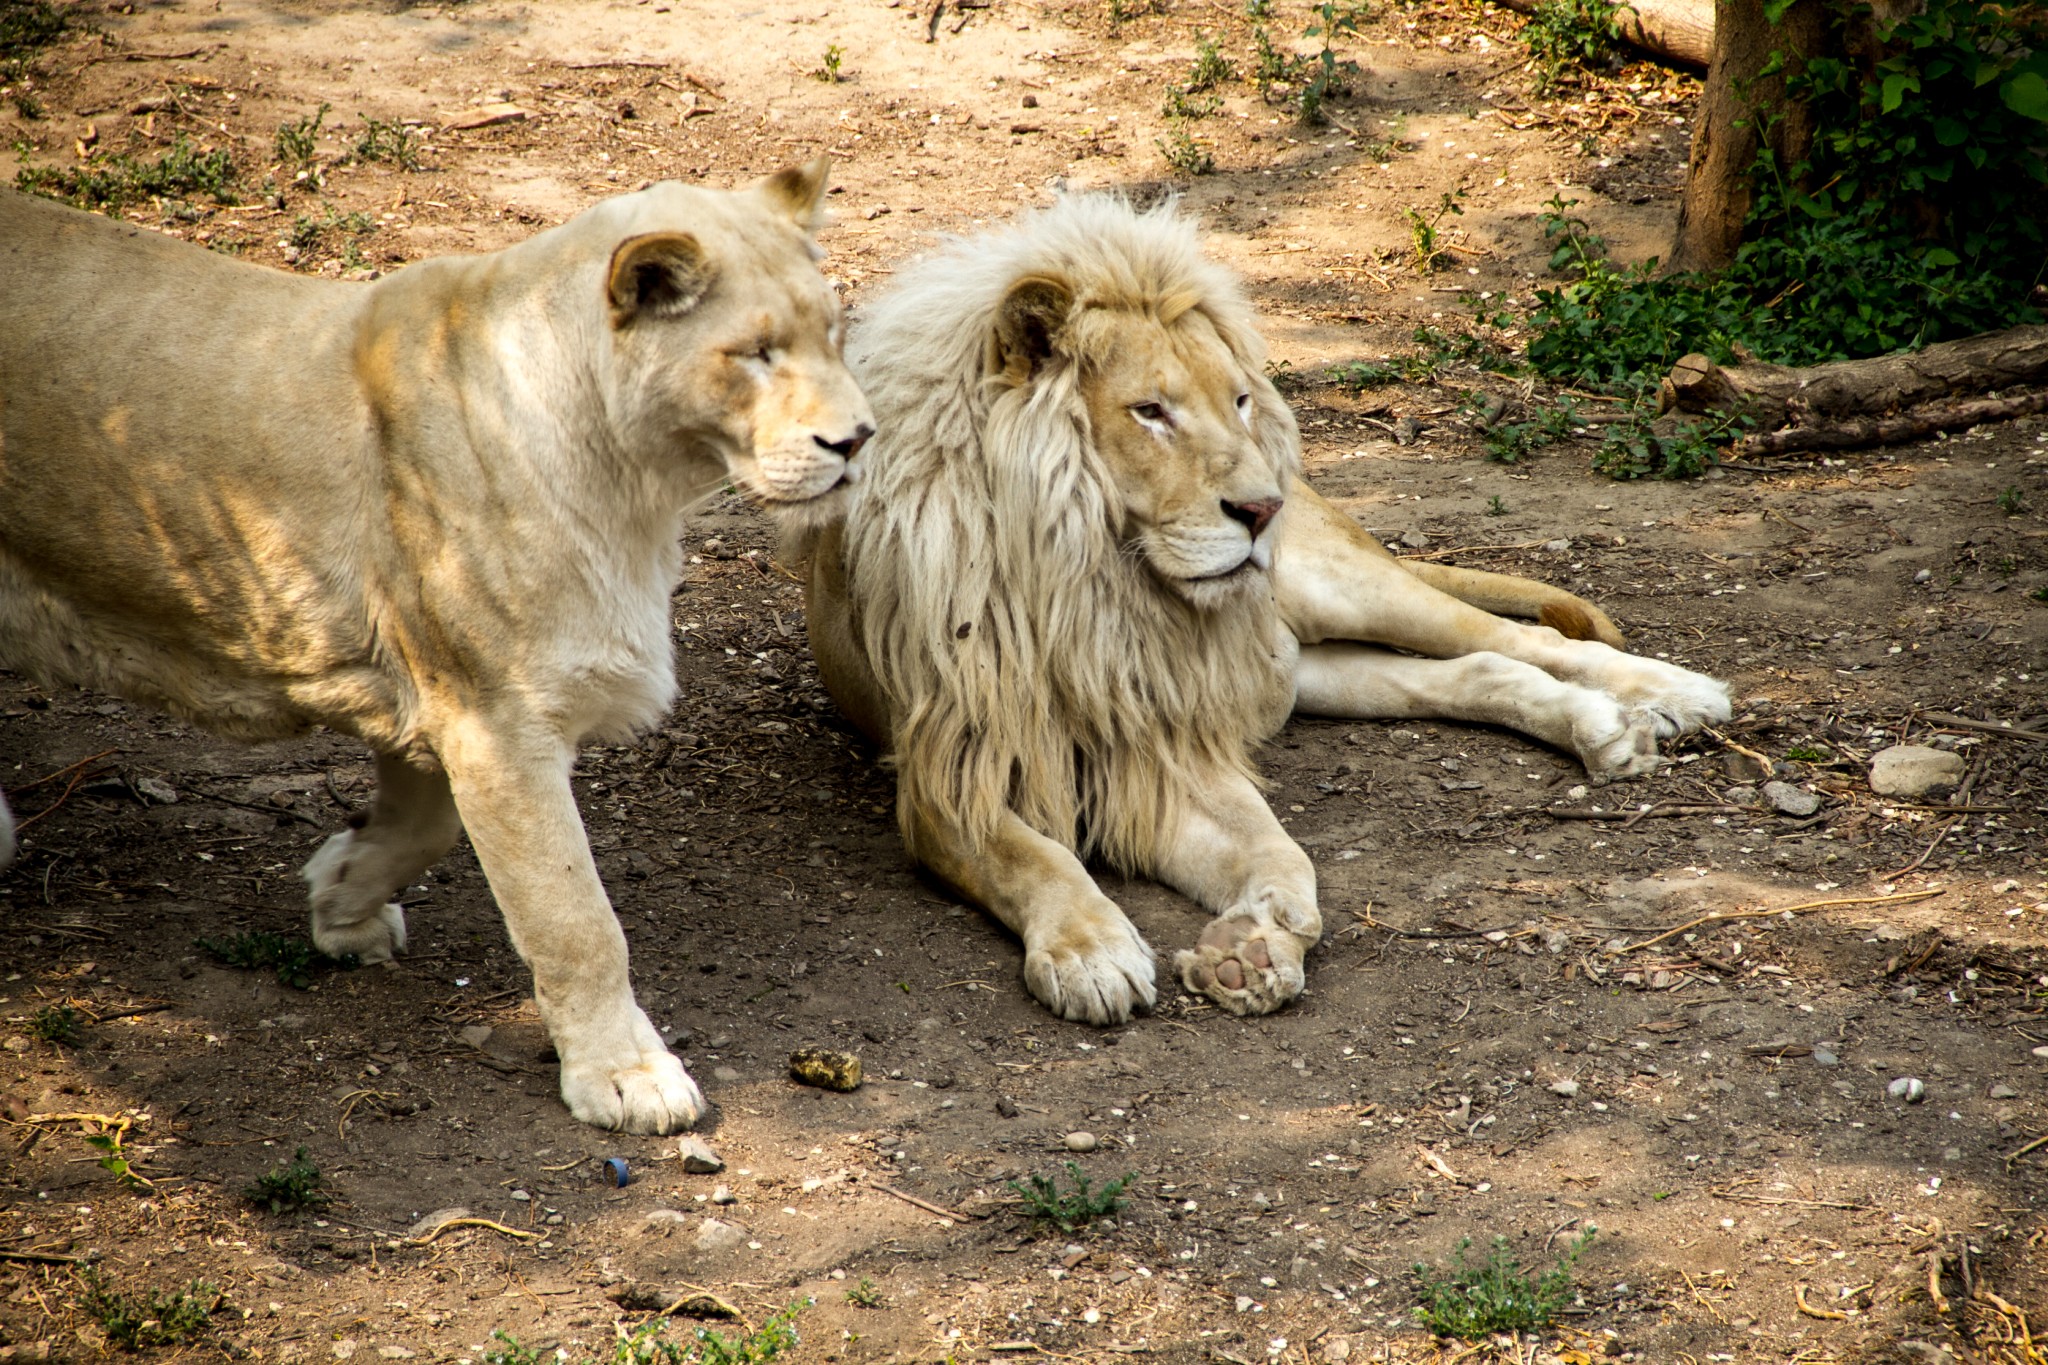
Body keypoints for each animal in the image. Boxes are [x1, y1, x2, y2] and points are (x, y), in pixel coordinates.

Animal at [0, 160, 872, 1137]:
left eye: (836, 333)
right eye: (755, 353)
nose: (857, 439)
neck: (633, 483)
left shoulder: (434, 694)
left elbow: (423, 824)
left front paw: (340, 897)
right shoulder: (496, 720)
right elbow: (575, 915)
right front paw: (626, 1073)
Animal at [798, 192, 1728, 1023]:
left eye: (1239, 401)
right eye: (1151, 411)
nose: (1261, 508)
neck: (1093, 589)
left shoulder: (1166, 746)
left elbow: (1281, 852)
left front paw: (1257, 940)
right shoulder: (951, 776)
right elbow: (1034, 859)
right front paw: (1095, 951)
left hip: (1336, 589)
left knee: (1516, 636)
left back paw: (1667, 697)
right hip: (1301, 671)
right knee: (1476, 669)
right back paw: (1606, 728)